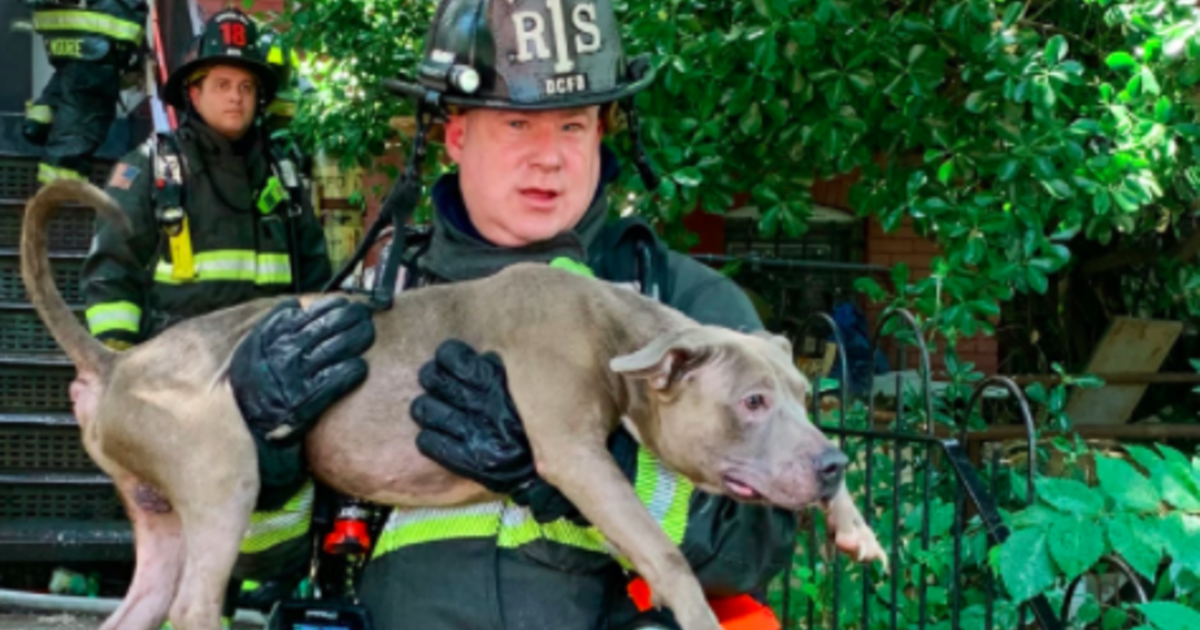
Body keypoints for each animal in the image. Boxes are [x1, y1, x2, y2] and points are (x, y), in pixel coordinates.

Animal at [16, 177, 883, 628]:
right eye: (752, 401)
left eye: (803, 398)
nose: (833, 465)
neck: (616, 325)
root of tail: (117, 365)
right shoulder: (574, 457)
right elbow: (666, 554)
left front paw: (856, 525)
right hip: (220, 479)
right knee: (198, 606)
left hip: (160, 517)